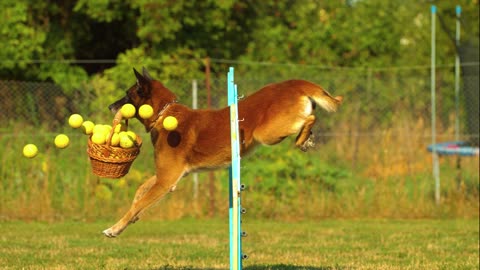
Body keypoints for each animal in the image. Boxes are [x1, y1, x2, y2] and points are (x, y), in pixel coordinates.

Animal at [102, 68, 342, 238]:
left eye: (127, 95)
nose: (110, 107)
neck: (164, 113)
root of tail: (294, 83)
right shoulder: (169, 176)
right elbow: (139, 193)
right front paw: (133, 218)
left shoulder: (166, 180)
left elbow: (140, 202)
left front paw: (115, 228)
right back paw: (306, 138)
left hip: (267, 133)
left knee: (310, 118)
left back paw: (303, 138)